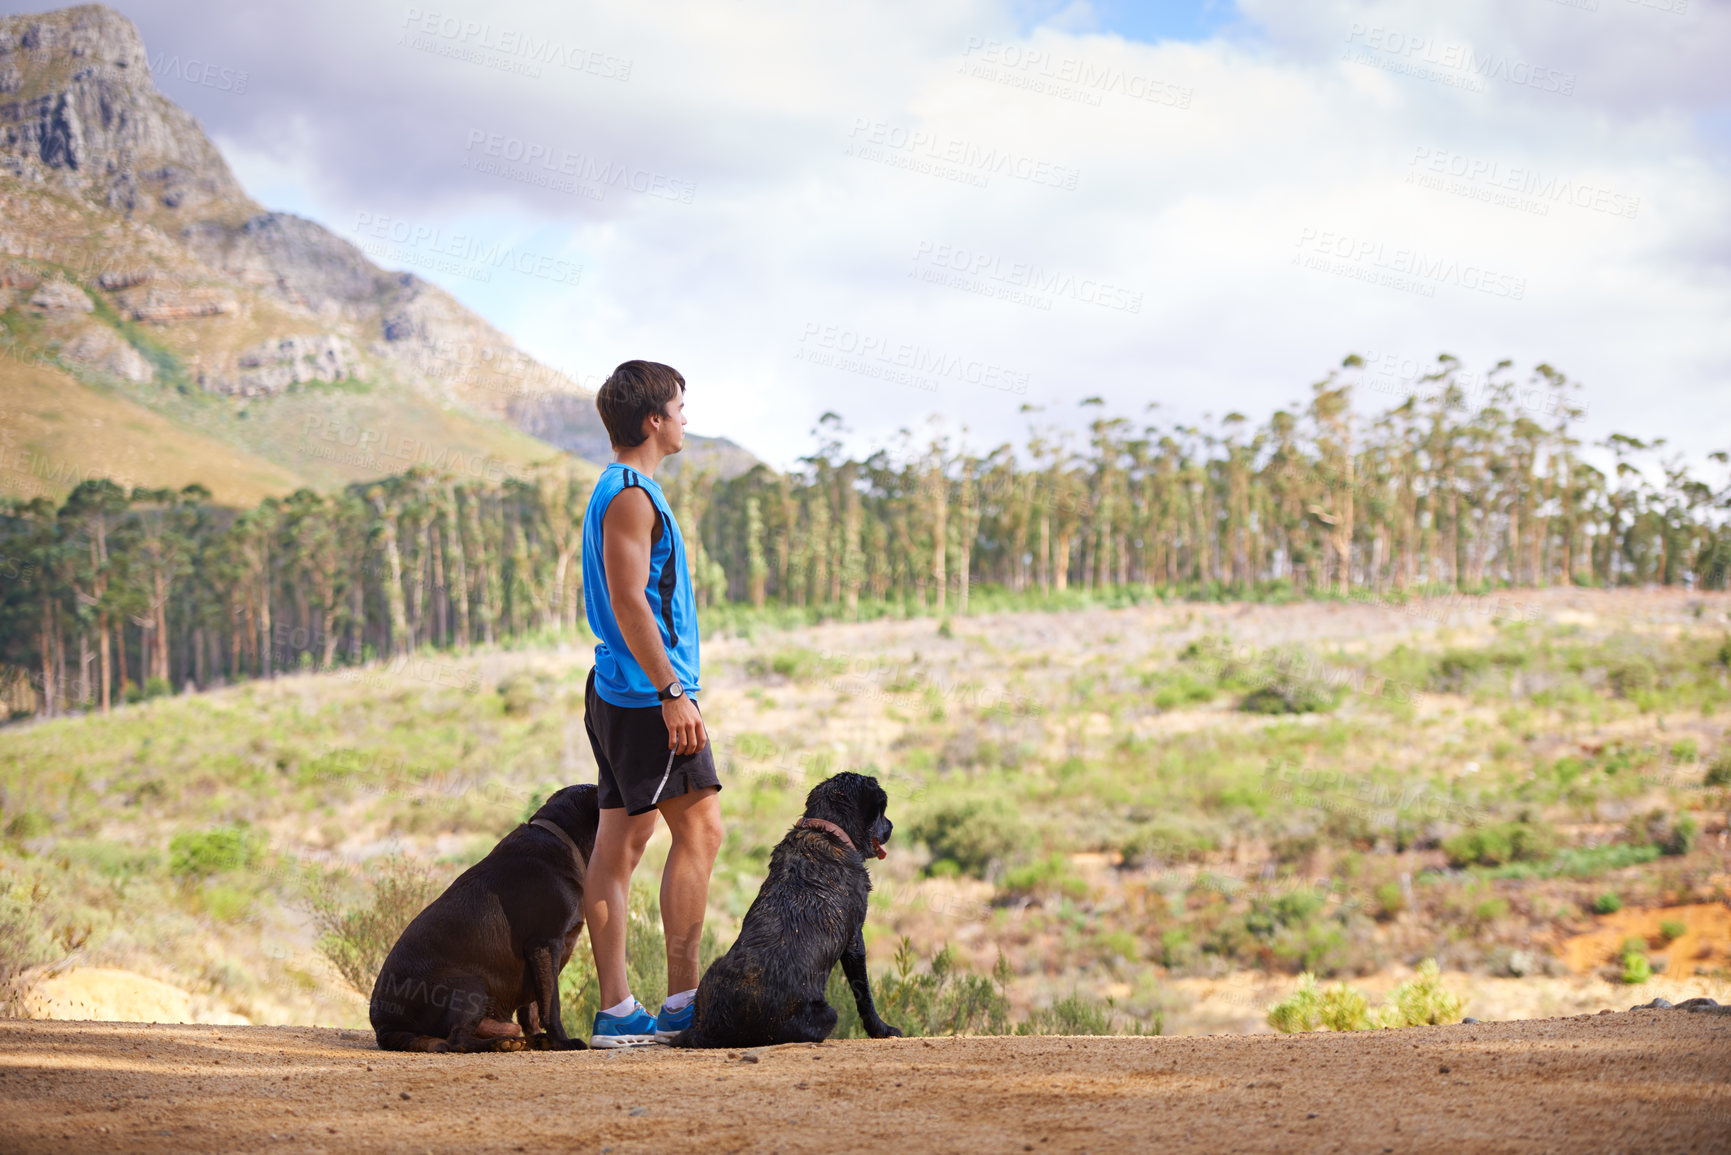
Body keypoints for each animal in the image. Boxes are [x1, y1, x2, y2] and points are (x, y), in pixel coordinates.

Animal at [368, 782, 598, 1052]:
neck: (561, 837)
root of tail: (384, 1027)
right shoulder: (545, 944)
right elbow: (551, 1005)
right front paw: (562, 1041)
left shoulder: (536, 957)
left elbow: (532, 1008)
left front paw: (541, 1039)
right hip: (470, 985)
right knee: (458, 1040)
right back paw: (502, 1043)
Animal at [664, 775, 900, 1045]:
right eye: (882, 810)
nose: (891, 826)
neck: (828, 831)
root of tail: (706, 1027)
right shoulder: (855, 938)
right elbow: (864, 993)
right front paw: (882, 1029)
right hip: (826, 1014)